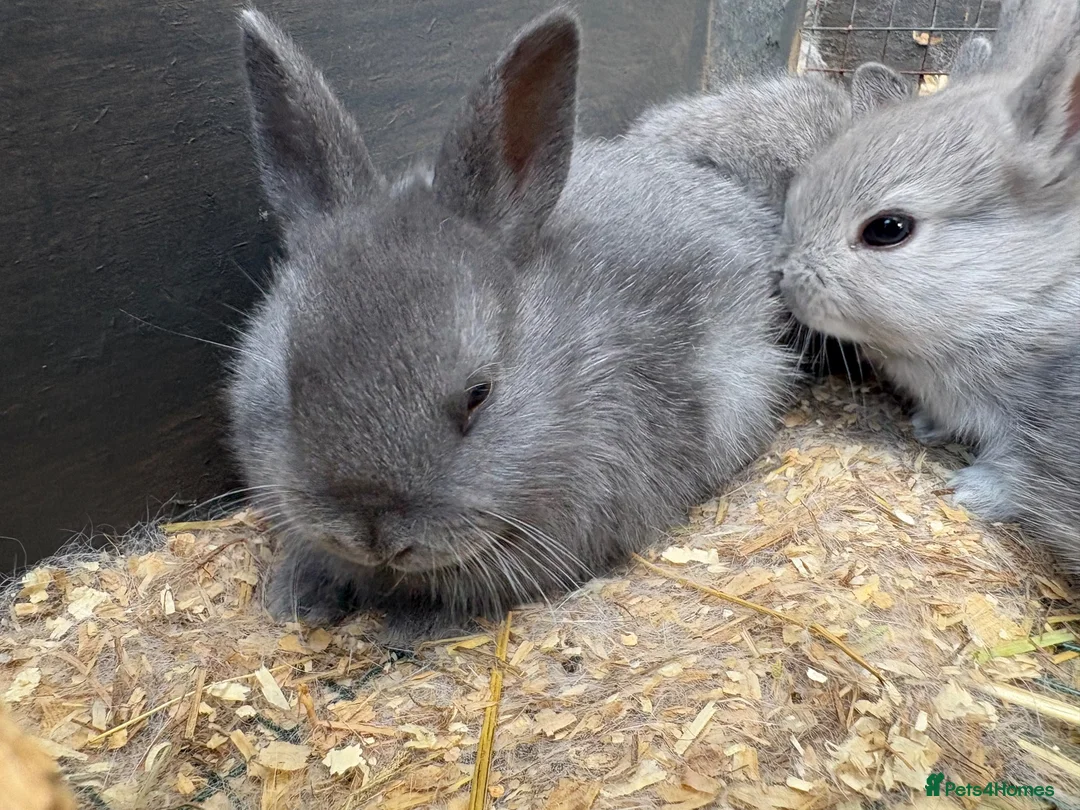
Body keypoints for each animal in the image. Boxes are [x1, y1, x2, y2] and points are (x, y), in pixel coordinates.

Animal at [776, 0, 1080, 566]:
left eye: (888, 229)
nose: (784, 281)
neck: (1030, 292)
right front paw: (927, 427)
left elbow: (1020, 469)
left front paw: (970, 490)